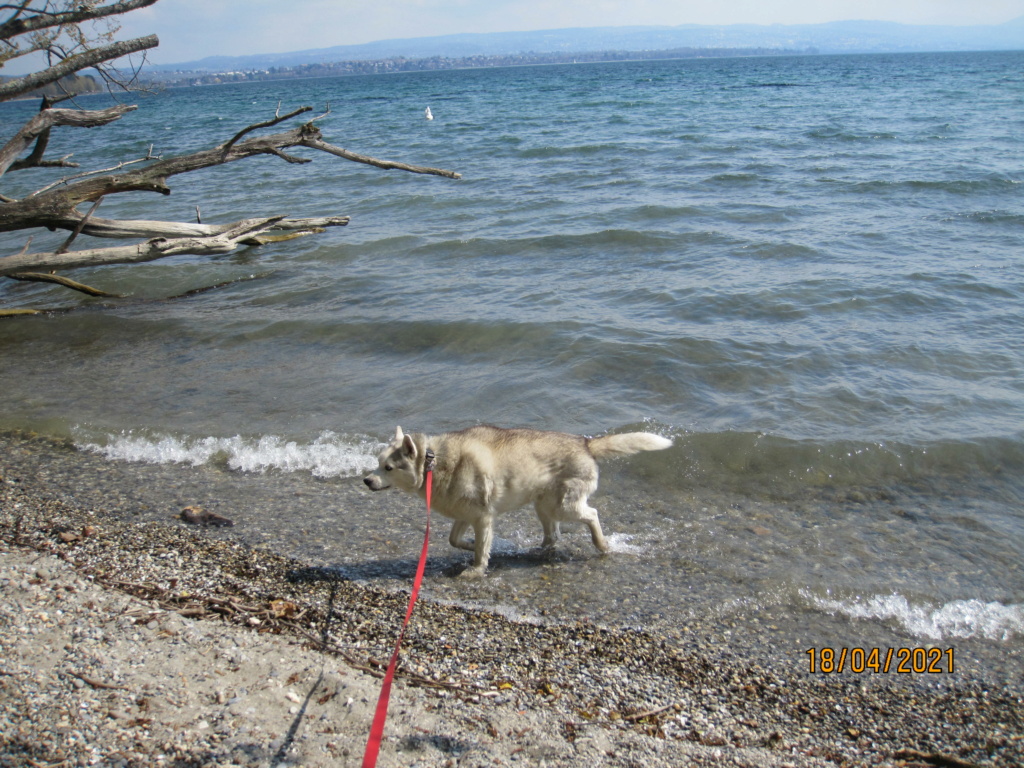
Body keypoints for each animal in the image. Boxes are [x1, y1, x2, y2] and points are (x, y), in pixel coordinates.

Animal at [362, 428, 671, 577]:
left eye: (388, 468)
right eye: (378, 463)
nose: (366, 480)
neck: (434, 462)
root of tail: (585, 442)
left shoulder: (483, 517)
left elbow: (479, 549)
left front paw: (477, 569)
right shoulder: (466, 514)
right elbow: (455, 540)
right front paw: (475, 546)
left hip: (563, 505)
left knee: (592, 514)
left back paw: (602, 545)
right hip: (543, 506)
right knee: (553, 534)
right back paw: (536, 550)